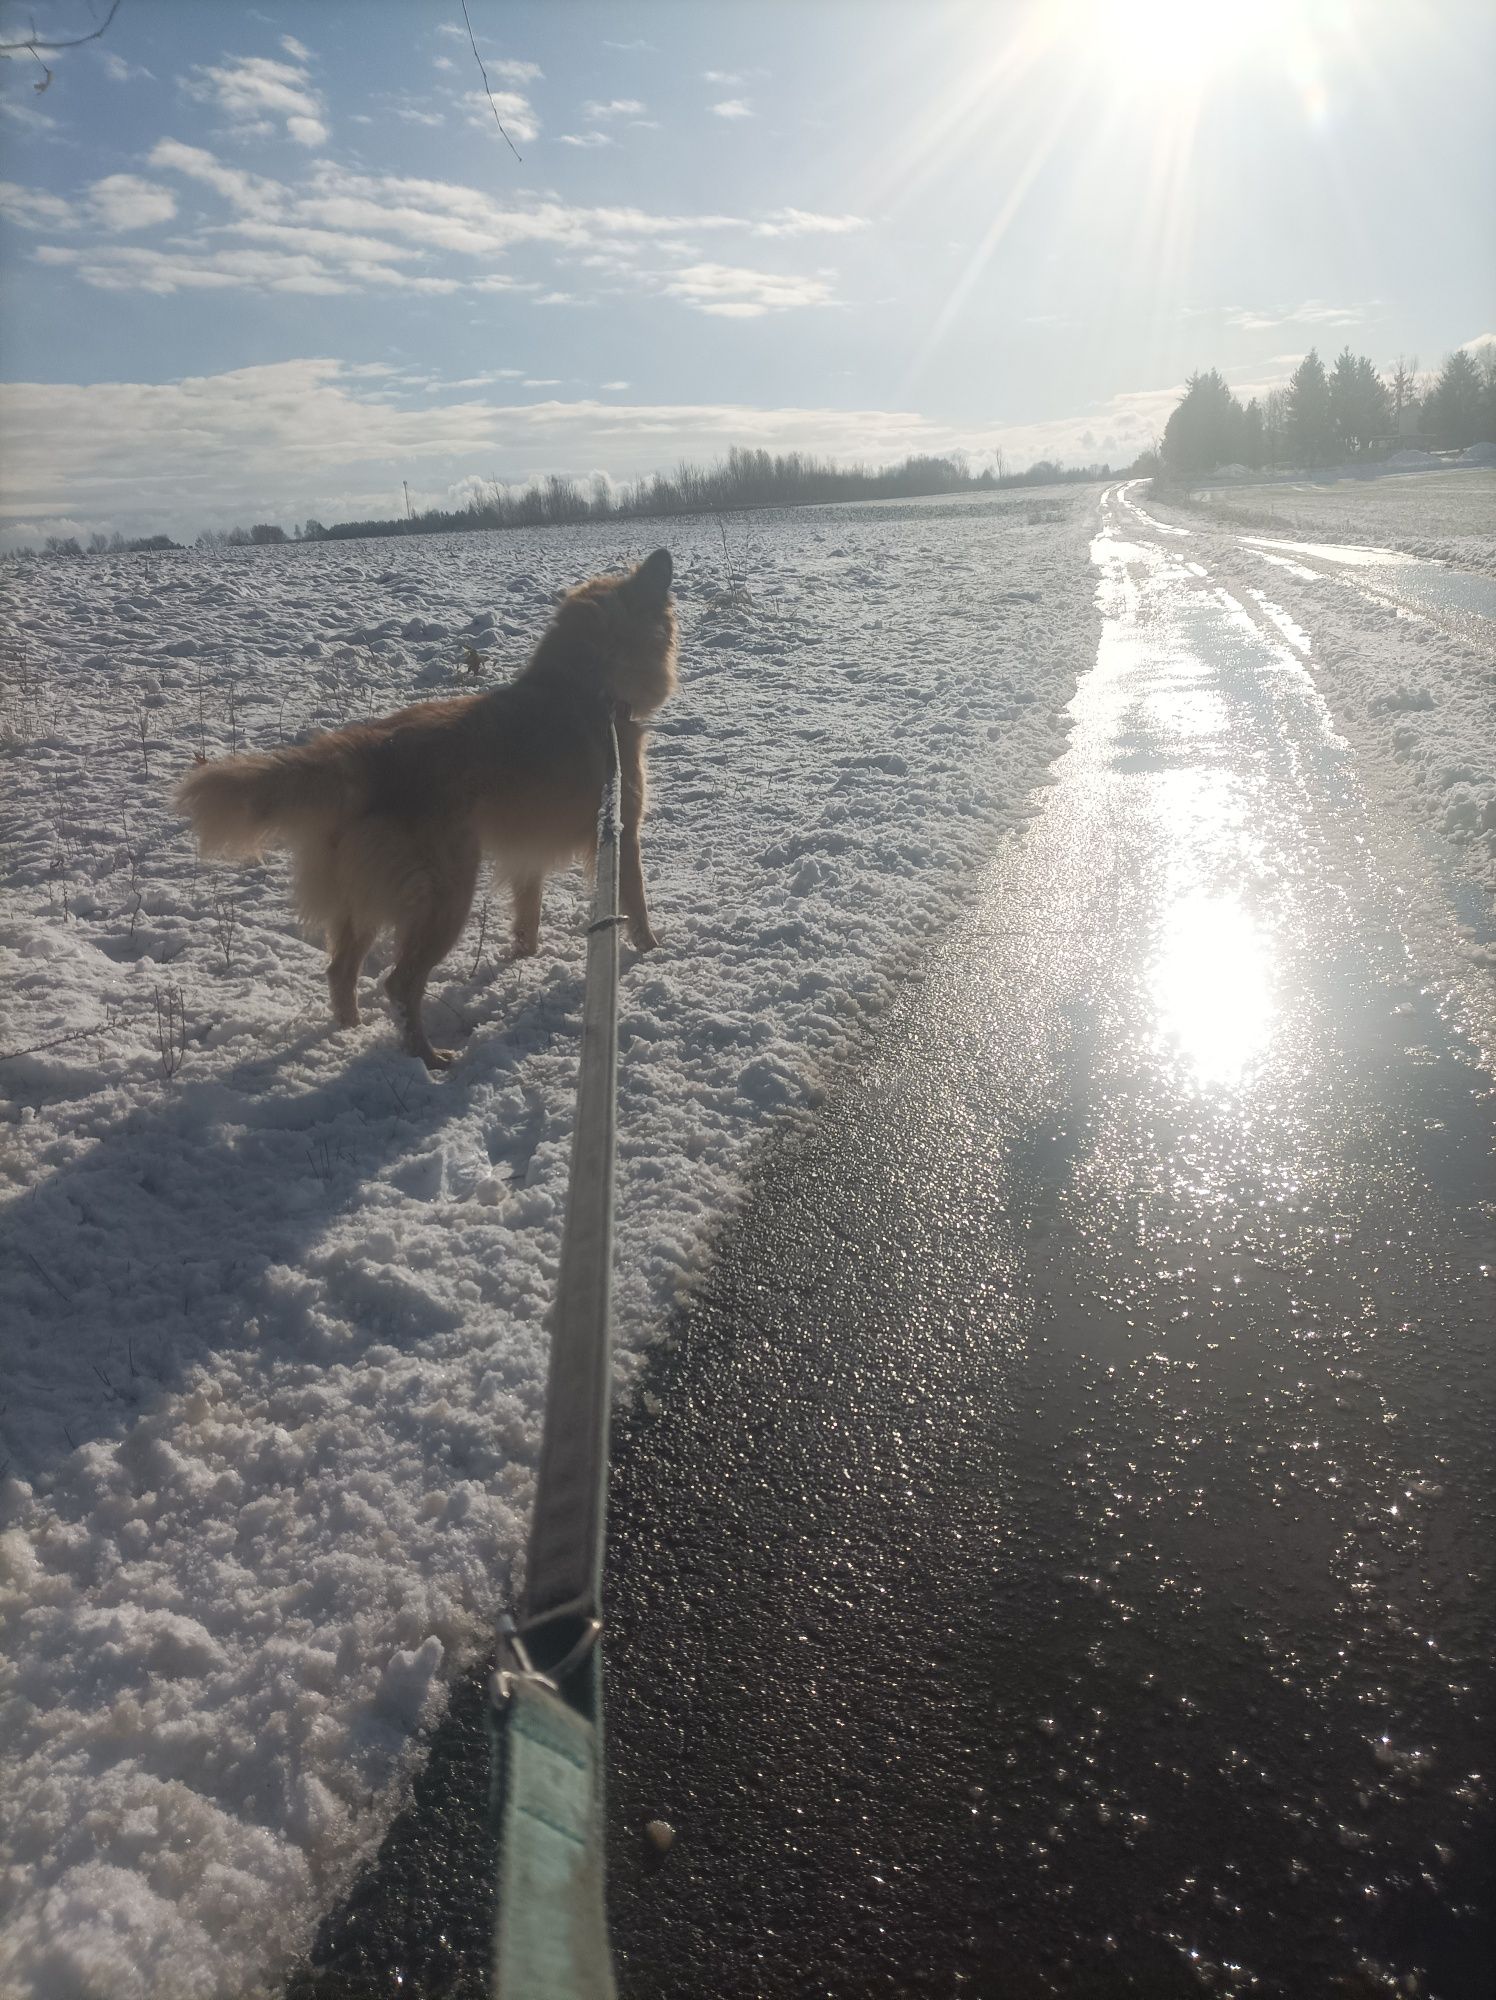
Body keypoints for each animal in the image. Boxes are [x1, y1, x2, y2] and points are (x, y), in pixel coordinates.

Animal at [177, 548, 684, 1072]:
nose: (664, 556)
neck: (586, 688)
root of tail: (367, 752)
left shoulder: (527, 855)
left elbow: (527, 918)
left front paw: (523, 958)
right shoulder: (620, 833)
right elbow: (636, 904)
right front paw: (651, 950)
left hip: (363, 897)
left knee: (341, 970)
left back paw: (351, 1030)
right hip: (445, 894)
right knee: (400, 984)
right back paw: (427, 1058)